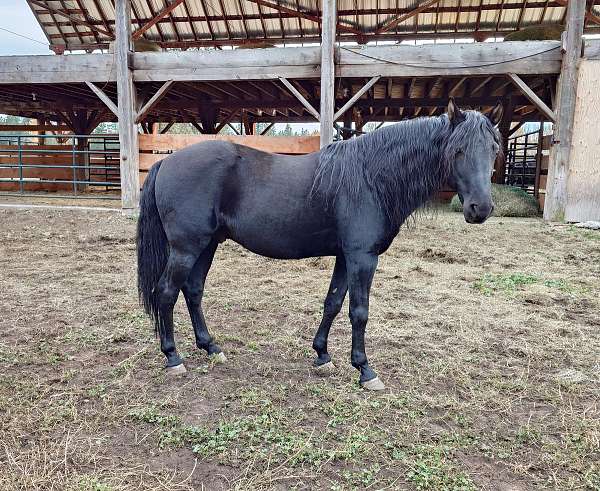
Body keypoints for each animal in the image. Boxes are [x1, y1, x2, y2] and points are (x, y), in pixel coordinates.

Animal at [136, 101, 502, 392]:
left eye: (494, 149)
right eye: (458, 150)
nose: (480, 208)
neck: (370, 178)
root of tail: (165, 162)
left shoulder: (345, 256)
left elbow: (333, 304)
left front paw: (323, 355)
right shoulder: (362, 258)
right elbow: (359, 312)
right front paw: (365, 370)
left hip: (207, 244)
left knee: (193, 290)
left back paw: (210, 347)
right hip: (186, 247)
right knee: (166, 292)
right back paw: (173, 357)